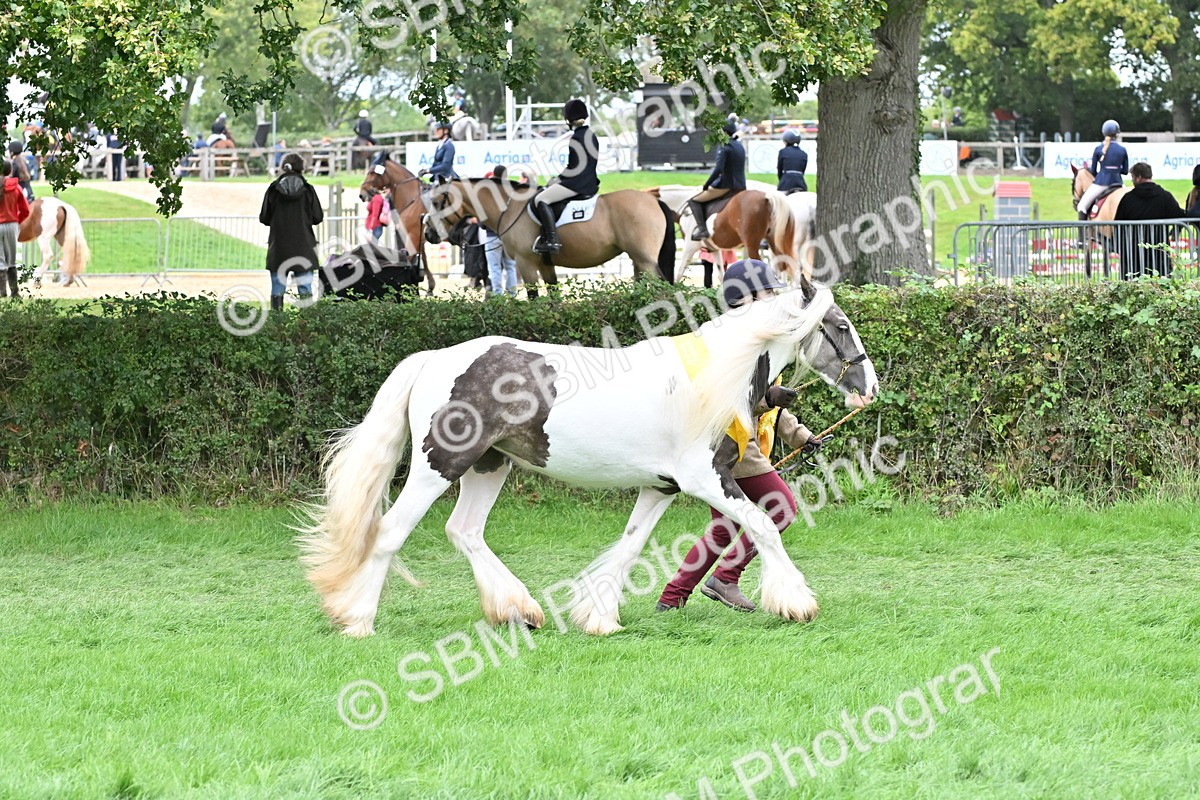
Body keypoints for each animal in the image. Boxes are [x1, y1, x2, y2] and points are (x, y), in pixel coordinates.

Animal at [298, 275, 879, 637]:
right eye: (841, 326)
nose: (870, 388)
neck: (713, 381)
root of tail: (434, 360)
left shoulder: (660, 487)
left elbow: (629, 547)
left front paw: (598, 618)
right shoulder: (706, 479)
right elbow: (762, 525)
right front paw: (797, 603)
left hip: (489, 465)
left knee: (464, 532)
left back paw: (521, 610)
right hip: (437, 466)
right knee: (390, 533)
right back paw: (358, 622)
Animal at [359, 159, 437, 296]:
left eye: (373, 173)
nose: (362, 194)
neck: (413, 199)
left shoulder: (413, 236)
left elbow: (410, 259)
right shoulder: (418, 237)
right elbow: (423, 258)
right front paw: (429, 286)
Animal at [424, 178, 676, 296]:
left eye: (436, 202)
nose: (428, 233)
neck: (511, 207)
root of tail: (653, 200)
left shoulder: (525, 263)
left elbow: (534, 297)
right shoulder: (546, 265)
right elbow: (554, 299)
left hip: (645, 259)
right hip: (637, 261)